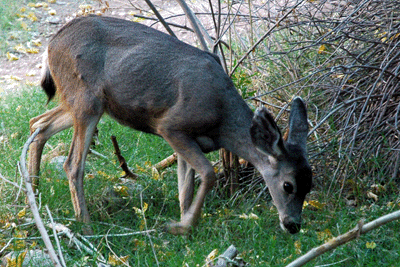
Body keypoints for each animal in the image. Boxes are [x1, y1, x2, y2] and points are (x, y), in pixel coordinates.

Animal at [29, 15, 314, 236]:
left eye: (309, 184)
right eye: (288, 185)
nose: (293, 225)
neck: (222, 121)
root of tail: (51, 44)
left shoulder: (190, 141)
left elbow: (184, 189)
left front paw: (182, 227)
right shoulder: (171, 126)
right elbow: (208, 173)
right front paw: (181, 227)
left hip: (85, 102)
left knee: (38, 124)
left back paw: (33, 197)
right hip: (87, 100)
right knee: (72, 163)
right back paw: (86, 227)